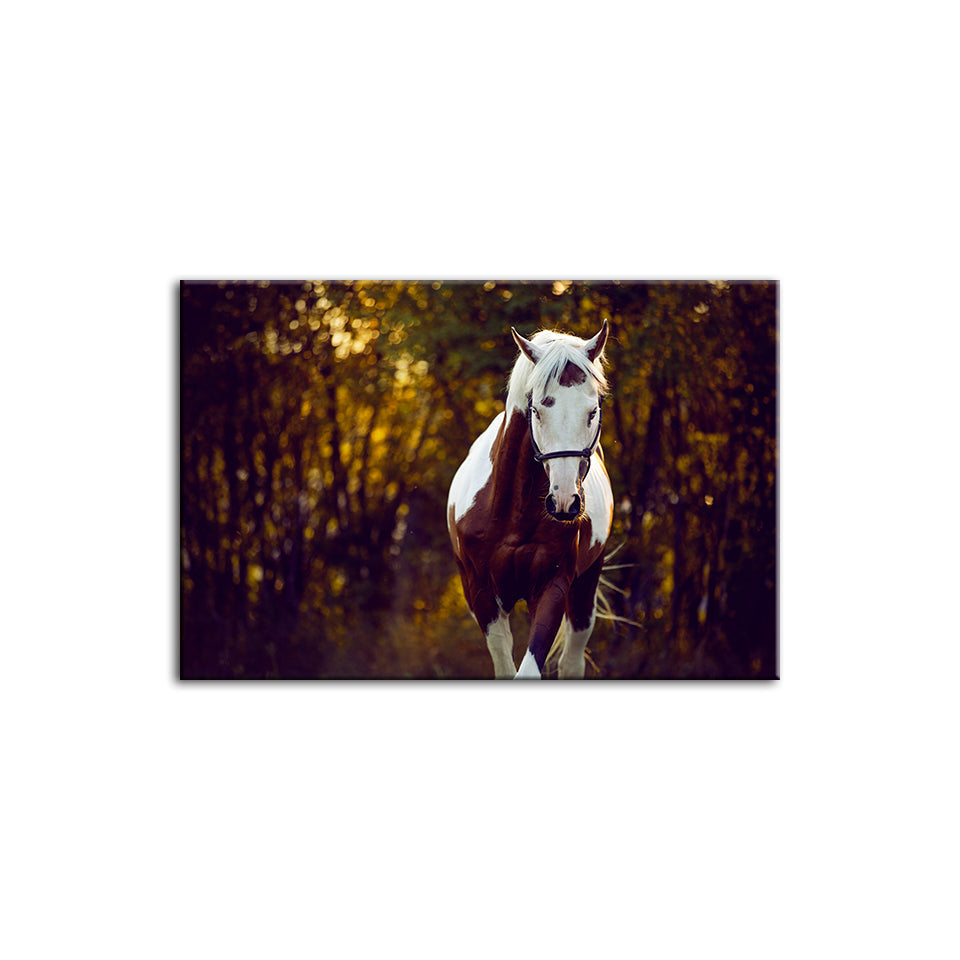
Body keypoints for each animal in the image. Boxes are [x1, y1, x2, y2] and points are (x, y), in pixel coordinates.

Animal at [446, 321, 613, 678]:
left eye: (592, 411)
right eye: (537, 410)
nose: (564, 501)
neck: (512, 514)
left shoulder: (553, 588)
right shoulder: (483, 595)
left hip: (585, 590)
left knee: (571, 662)